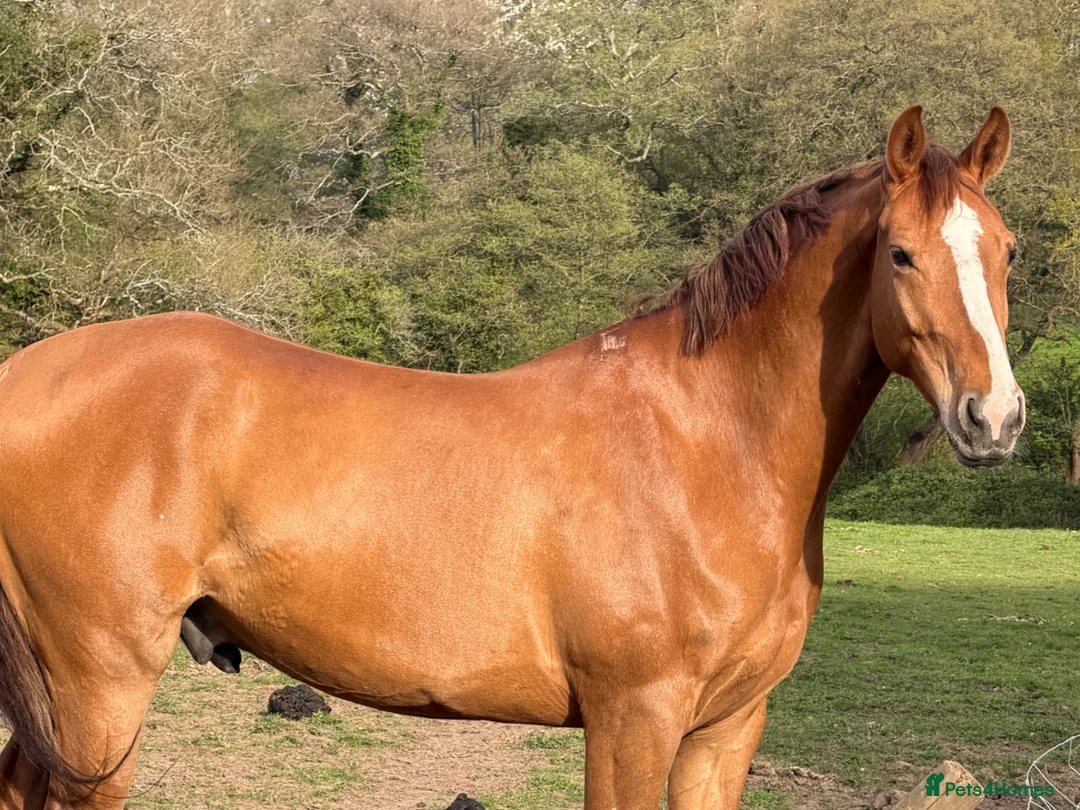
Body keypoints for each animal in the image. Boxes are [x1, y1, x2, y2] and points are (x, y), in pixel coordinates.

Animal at [0, 105, 1023, 809]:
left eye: (1008, 250)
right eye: (900, 254)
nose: (996, 418)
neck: (702, 444)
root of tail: (26, 374)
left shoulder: (726, 729)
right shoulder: (633, 719)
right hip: (100, 686)